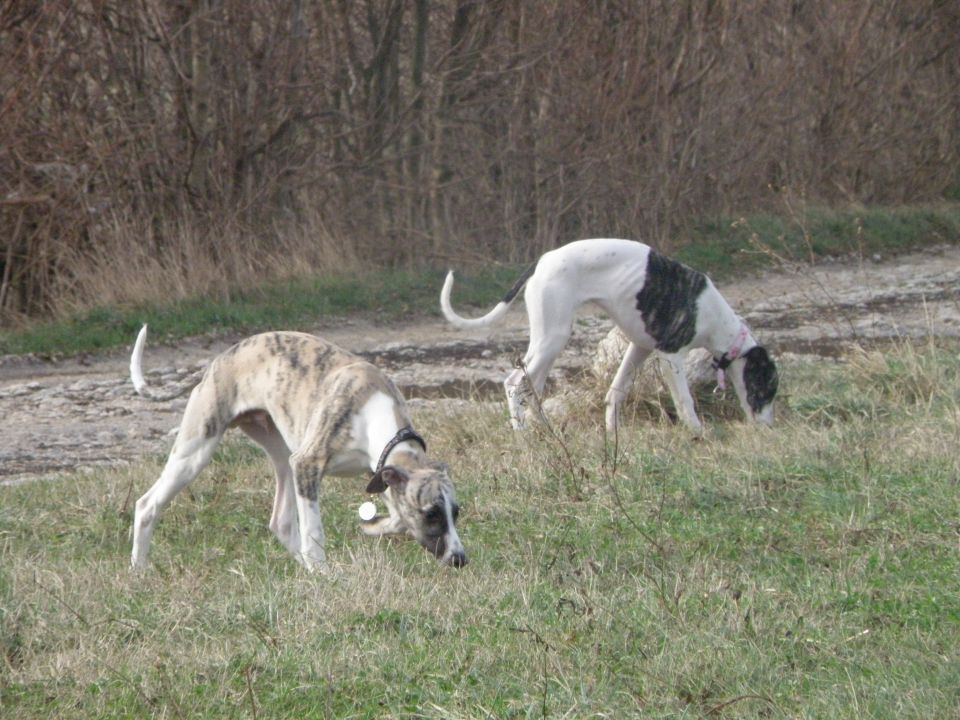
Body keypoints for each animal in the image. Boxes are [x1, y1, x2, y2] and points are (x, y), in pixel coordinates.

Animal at [129, 328, 466, 572]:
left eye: (456, 512)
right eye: (431, 513)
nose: (460, 559)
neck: (375, 409)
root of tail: (220, 360)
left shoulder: (378, 468)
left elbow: (395, 515)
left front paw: (374, 527)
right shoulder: (308, 464)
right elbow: (314, 530)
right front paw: (322, 569)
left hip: (280, 453)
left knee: (280, 520)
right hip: (196, 449)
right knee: (147, 504)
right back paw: (138, 570)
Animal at [442, 239, 780, 436]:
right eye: (766, 388)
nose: (769, 428)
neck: (713, 318)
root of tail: (543, 260)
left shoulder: (639, 348)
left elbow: (616, 391)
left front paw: (612, 432)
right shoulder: (670, 356)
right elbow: (684, 399)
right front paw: (698, 432)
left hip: (549, 341)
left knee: (532, 385)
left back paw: (546, 430)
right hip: (553, 336)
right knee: (514, 383)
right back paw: (521, 434)